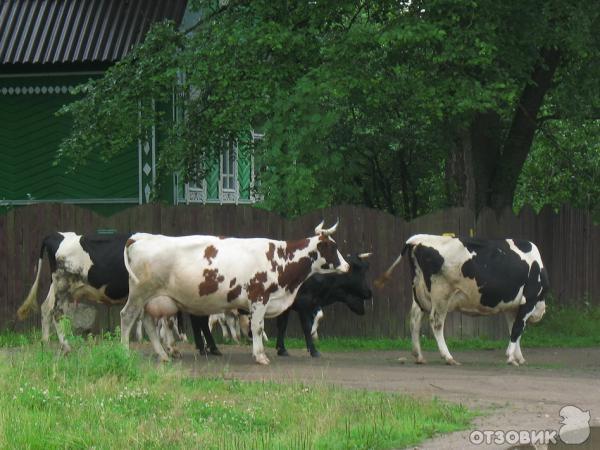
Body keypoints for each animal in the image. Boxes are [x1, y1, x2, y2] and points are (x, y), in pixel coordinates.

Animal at [17, 232, 220, 356]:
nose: (209, 348)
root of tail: (59, 236)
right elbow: (167, 320)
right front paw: (173, 348)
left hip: (62, 289)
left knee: (46, 308)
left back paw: (46, 343)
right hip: (63, 284)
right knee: (56, 313)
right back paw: (65, 346)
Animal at [120, 221, 350, 366]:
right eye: (333, 247)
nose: (347, 266)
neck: (281, 260)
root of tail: (141, 237)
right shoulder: (259, 298)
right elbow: (257, 328)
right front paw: (260, 356)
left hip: (153, 300)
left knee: (149, 324)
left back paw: (163, 355)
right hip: (139, 294)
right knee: (127, 317)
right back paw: (125, 351)